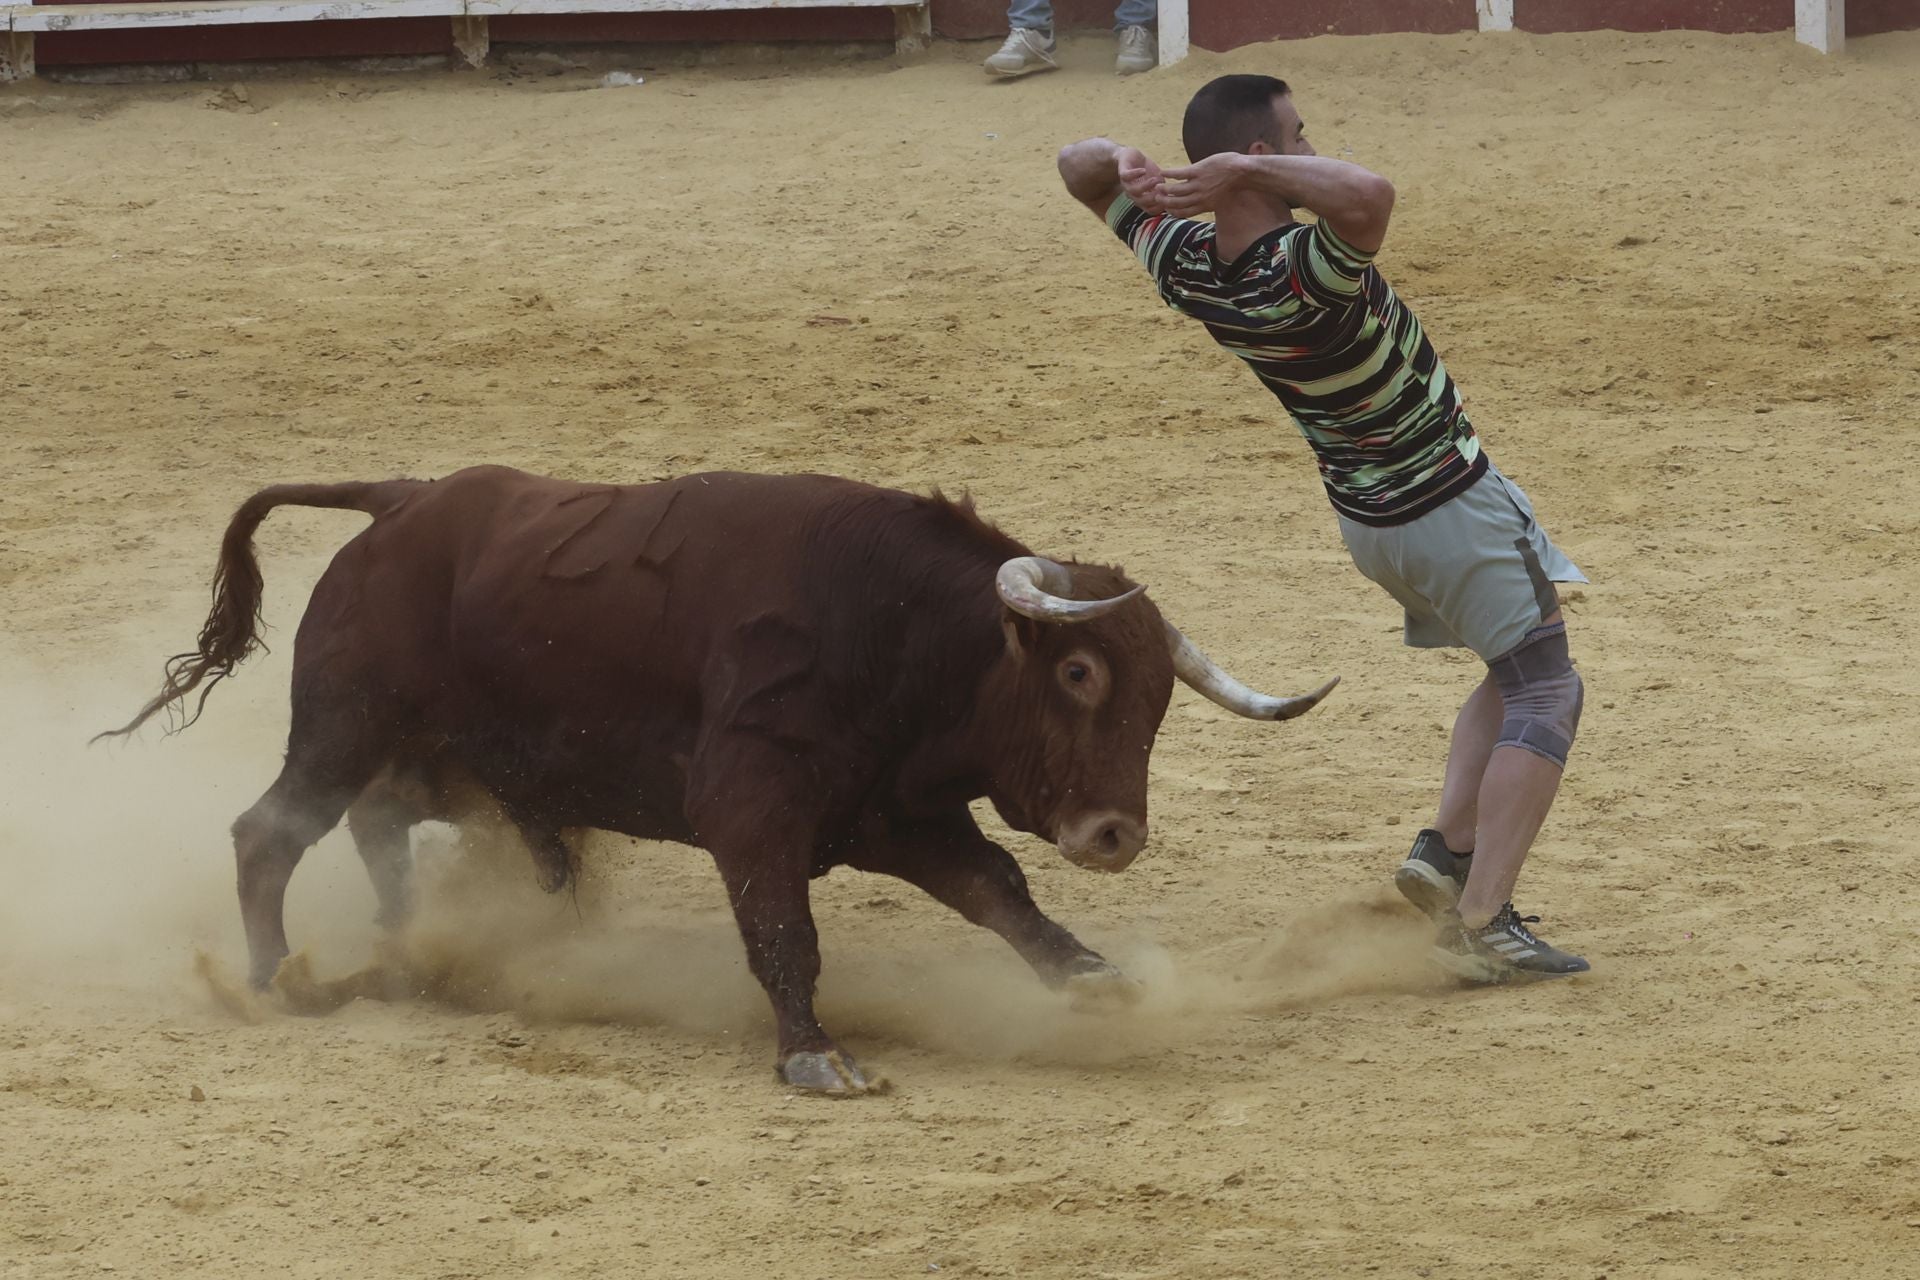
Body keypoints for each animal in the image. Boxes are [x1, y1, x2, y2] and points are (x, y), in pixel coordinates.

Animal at [104, 466, 1334, 1094]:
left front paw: (1094, 980)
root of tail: (405, 502)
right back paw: (274, 978)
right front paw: (815, 1055)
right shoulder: (753, 810)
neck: (891, 628)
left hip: (432, 759)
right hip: (343, 725)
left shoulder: (896, 812)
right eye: (1078, 671)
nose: (1116, 833)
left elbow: (1000, 892)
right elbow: (784, 930)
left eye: (1158, 693)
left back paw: (408, 953)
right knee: (270, 830)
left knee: (374, 827)